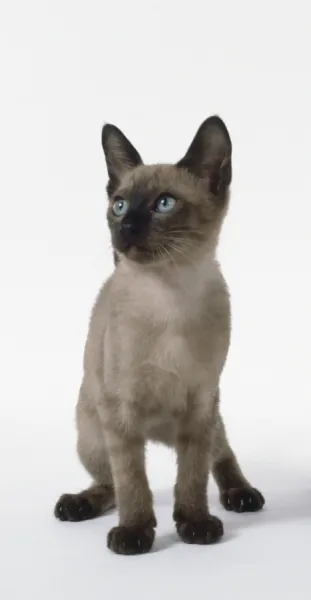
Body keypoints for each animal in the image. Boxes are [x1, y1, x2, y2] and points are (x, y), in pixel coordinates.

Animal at [54, 118, 264, 556]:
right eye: (119, 205)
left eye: (164, 204)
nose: (125, 227)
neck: (170, 294)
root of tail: (158, 436)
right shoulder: (120, 412)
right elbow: (132, 482)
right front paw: (134, 532)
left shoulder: (200, 405)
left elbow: (193, 477)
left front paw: (195, 524)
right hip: (92, 434)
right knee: (108, 484)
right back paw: (77, 505)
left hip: (208, 417)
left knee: (222, 453)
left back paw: (241, 495)